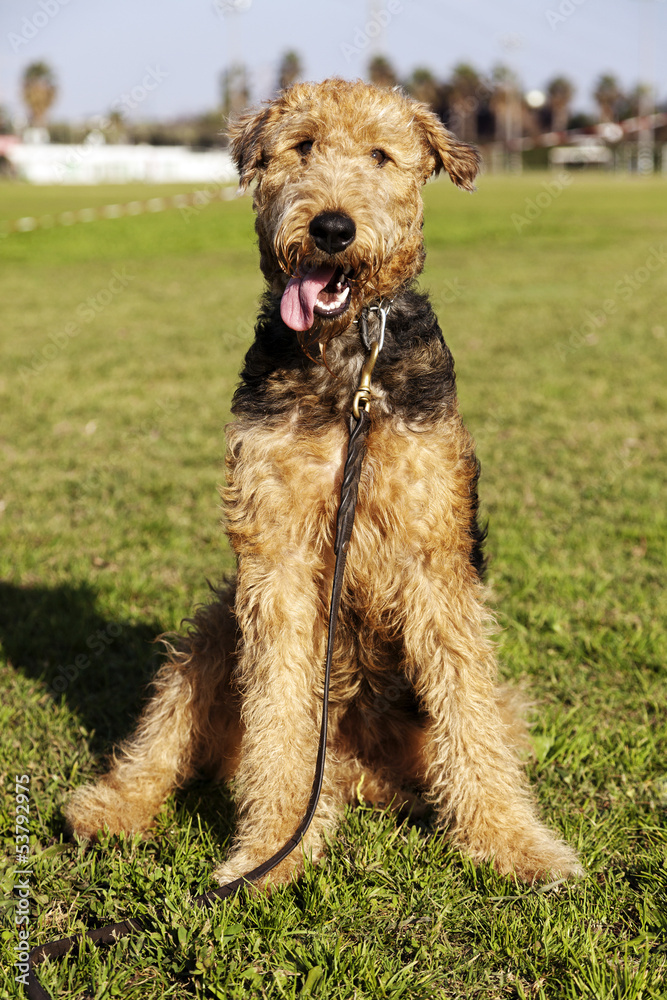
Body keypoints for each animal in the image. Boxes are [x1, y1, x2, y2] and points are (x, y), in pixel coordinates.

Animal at [65, 80, 580, 892]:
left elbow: (465, 710)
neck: (347, 366)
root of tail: (352, 769)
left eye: (380, 155)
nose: (332, 228)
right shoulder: (274, 555)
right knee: (167, 734)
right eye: (301, 145)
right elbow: (279, 711)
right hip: (214, 628)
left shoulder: (434, 557)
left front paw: (513, 845)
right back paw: (111, 808)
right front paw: (272, 849)